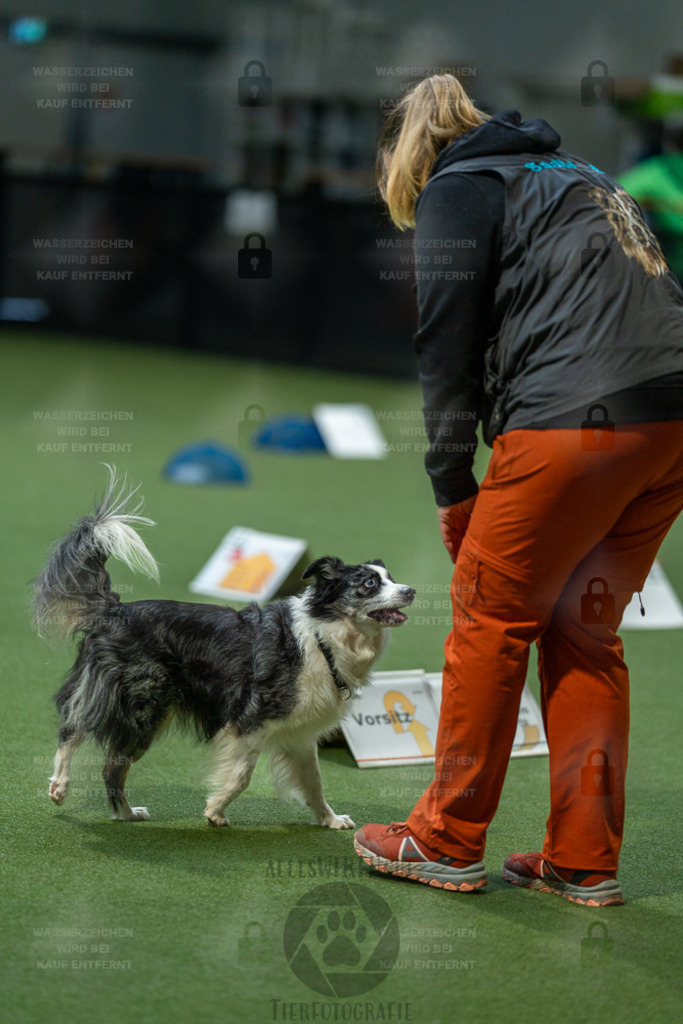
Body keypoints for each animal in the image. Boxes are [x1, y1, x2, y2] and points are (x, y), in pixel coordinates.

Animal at [31, 468, 413, 827]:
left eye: (391, 578)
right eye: (370, 583)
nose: (411, 591)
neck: (325, 637)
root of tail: (115, 610)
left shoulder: (300, 732)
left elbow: (314, 782)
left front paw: (329, 820)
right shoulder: (251, 718)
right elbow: (242, 776)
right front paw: (215, 810)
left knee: (100, 750)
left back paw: (122, 812)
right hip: (144, 704)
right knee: (82, 736)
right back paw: (68, 789)